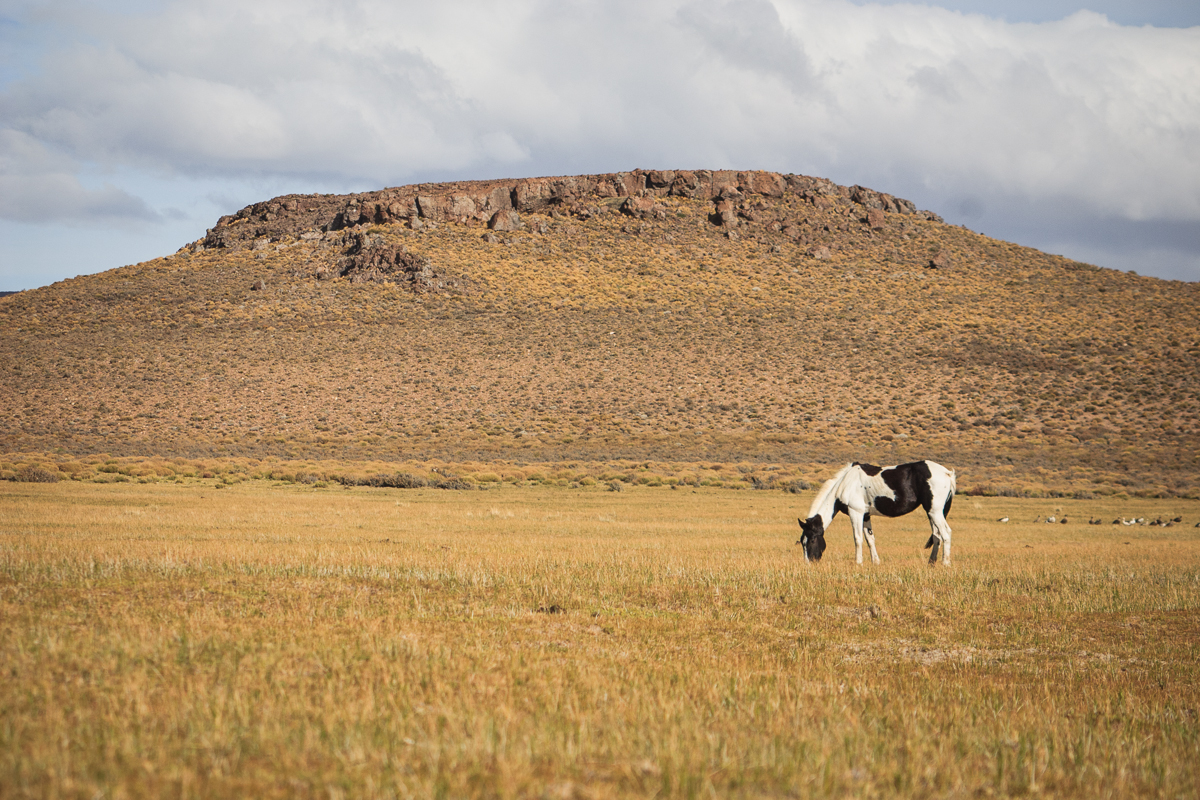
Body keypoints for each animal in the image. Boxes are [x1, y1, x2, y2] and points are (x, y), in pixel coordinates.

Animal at [796, 460, 955, 566]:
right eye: (802, 542)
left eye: (812, 539)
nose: (808, 563)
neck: (844, 484)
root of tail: (947, 473)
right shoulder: (866, 515)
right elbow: (870, 539)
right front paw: (876, 562)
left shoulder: (856, 512)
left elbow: (857, 539)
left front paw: (858, 563)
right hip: (931, 512)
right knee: (936, 535)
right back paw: (931, 563)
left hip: (934, 512)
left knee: (946, 533)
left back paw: (945, 563)